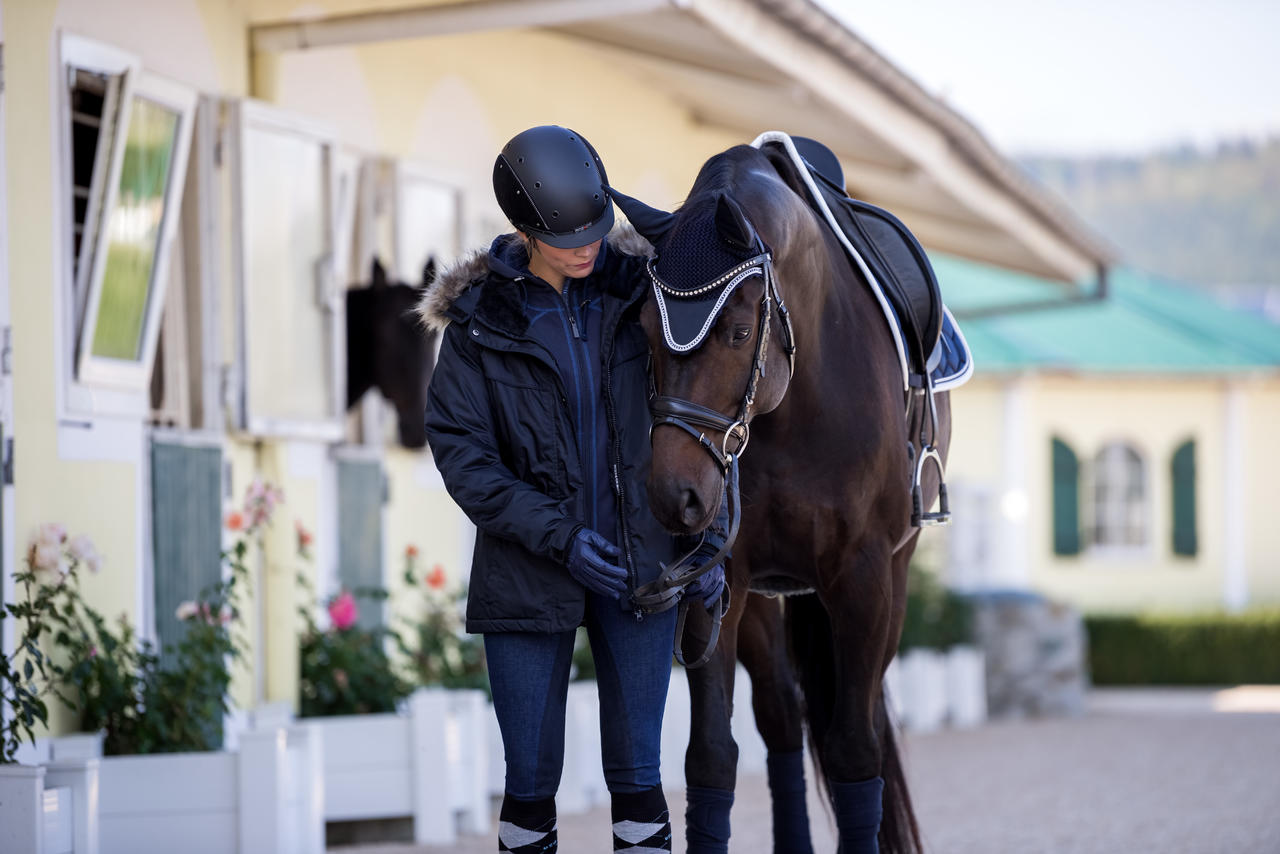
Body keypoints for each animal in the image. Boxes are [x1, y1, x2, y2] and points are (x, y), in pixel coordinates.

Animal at [614, 142, 947, 854]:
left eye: (740, 333)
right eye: (644, 330)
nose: (675, 495)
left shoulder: (863, 577)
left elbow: (855, 749)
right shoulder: (720, 579)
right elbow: (711, 757)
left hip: (892, 580)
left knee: (858, 724)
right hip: (768, 598)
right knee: (783, 717)